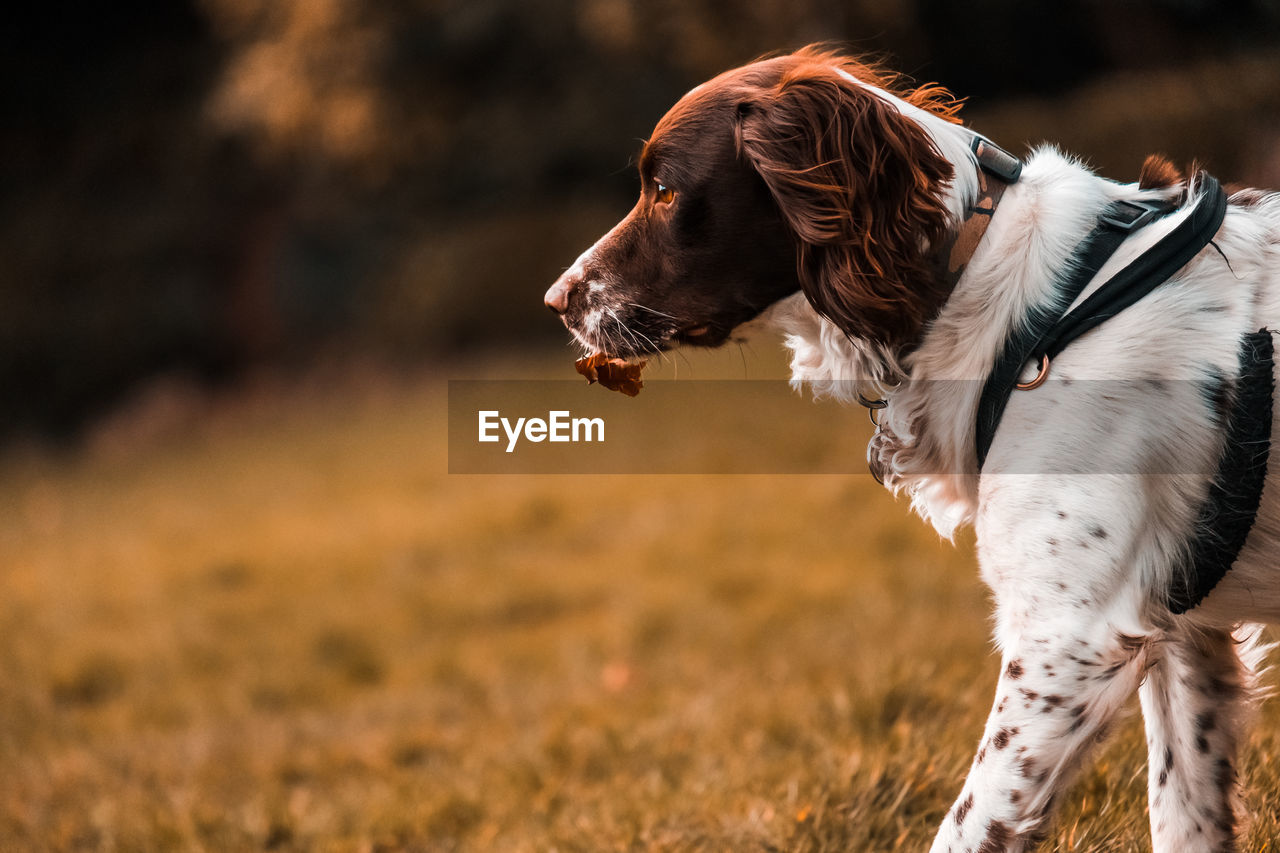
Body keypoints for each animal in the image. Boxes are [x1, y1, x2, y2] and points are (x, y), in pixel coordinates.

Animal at [542, 48, 1280, 850]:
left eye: (666, 189)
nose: (557, 300)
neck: (1001, 303)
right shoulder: (1184, 633)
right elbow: (1181, 814)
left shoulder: (1065, 640)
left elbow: (965, 827)